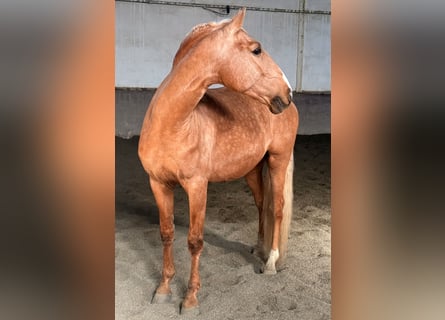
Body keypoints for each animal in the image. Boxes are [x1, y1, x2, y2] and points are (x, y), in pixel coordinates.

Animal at [139, 8, 298, 312]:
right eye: (256, 50)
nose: (287, 92)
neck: (174, 125)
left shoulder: (197, 187)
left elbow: (194, 241)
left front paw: (190, 298)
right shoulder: (158, 184)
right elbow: (166, 233)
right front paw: (163, 289)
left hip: (278, 160)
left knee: (277, 208)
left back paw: (270, 262)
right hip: (252, 169)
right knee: (262, 204)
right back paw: (258, 248)